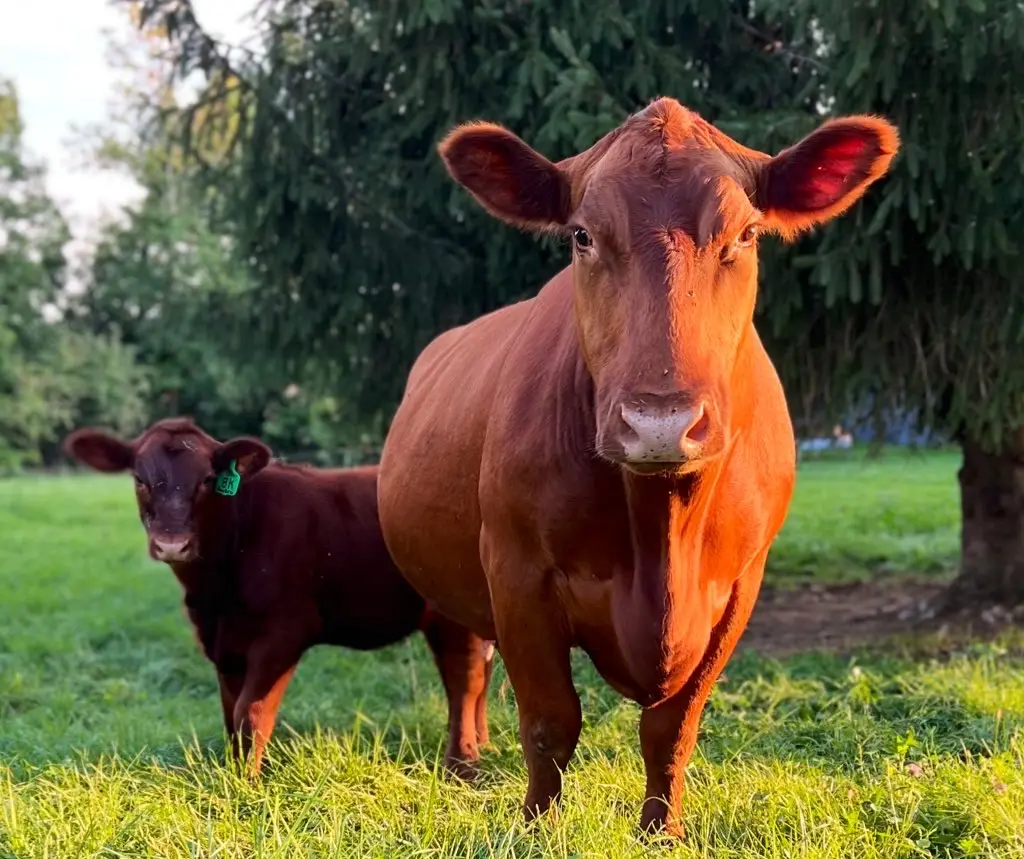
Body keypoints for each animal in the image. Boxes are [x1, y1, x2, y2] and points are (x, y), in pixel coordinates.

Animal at [64, 418, 493, 778]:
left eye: (207, 479)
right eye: (139, 479)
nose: (172, 543)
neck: (215, 592)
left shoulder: (283, 634)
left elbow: (250, 712)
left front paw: (248, 783)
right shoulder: (224, 643)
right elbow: (230, 713)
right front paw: (241, 770)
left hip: (453, 613)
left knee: (465, 682)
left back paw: (462, 764)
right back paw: (484, 746)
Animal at [377, 97, 898, 836]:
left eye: (745, 235)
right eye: (582, 237)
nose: (660, 421)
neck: (661, 535)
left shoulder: (740, 586)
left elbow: (671, 728)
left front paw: (662, 832)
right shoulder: (517, 572)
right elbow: (550, 722)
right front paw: (537, 830)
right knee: (466, 668)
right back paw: (464, 765)